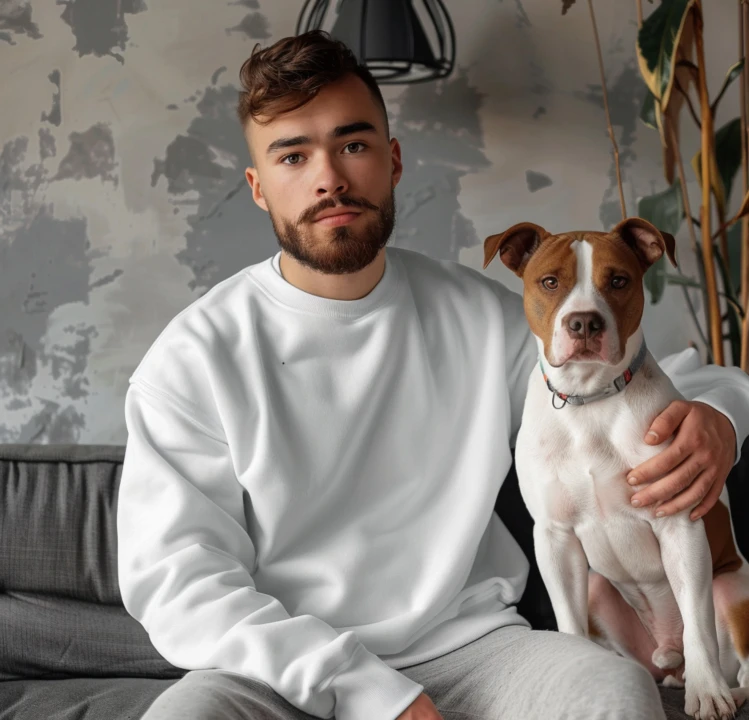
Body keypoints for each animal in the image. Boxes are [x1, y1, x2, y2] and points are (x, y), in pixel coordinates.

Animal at [482, 217, 748, 716]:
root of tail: (667, 656)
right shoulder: (554, 538)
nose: (584, 321)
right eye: (550, 282)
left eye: (619, 281)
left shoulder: (679, 525)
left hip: (734, 589)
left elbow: (697, 621)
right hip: (598, 589)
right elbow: (568, 622)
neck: (590, 400)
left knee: (735, 660)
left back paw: (721, 687)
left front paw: (707, 694)